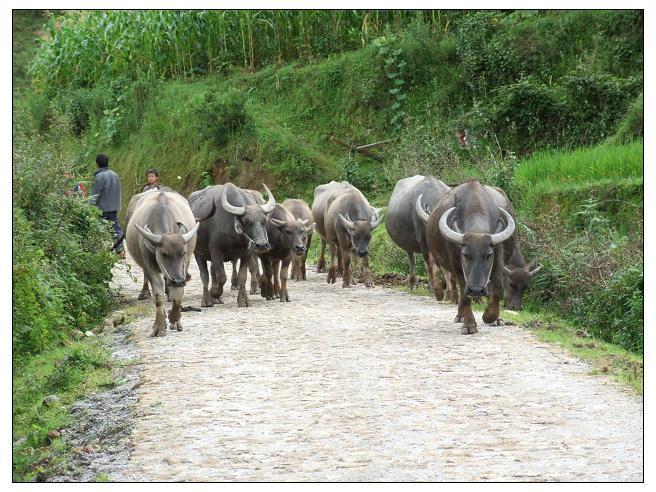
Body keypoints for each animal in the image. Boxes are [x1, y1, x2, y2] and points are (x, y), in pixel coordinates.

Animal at [125, 190, 197, 336]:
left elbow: (178, 295)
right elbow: (158, 296)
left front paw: (175, 319)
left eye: (183, 253)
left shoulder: (183, 267)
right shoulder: (150, 266)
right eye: (164, 253)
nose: (178, 281)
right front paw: (159, 326)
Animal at [420, 180, 516, 334]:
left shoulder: (498, 260)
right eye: (465, 254)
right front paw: (469, 324)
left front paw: (490, 316)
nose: (476, 290)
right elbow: (464, 294)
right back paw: (460, 316)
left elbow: (496, 290)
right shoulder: (457, 266)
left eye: (488, 255)